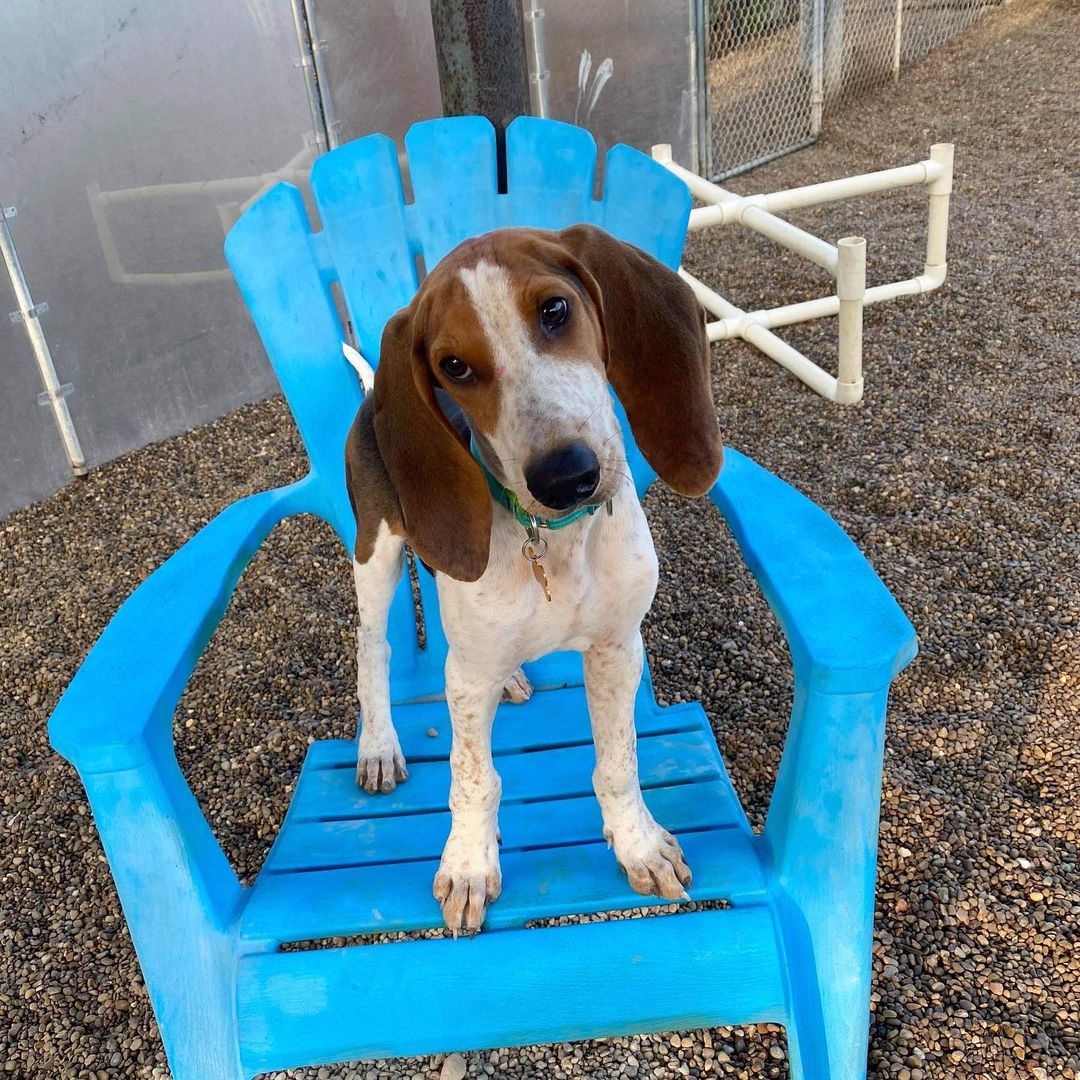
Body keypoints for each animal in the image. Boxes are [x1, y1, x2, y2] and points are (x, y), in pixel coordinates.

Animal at [341, 223, 721, 933]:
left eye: (554, 310)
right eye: (453, 366)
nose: (566, 476)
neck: (556, 538)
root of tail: (374, 394)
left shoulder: (616, 648)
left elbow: (618, 763)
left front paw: (638, 845)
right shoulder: (465, 681)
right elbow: (472, 778)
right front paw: (468, 865)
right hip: (375, 549)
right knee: (373, 649)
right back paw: (378, 743)